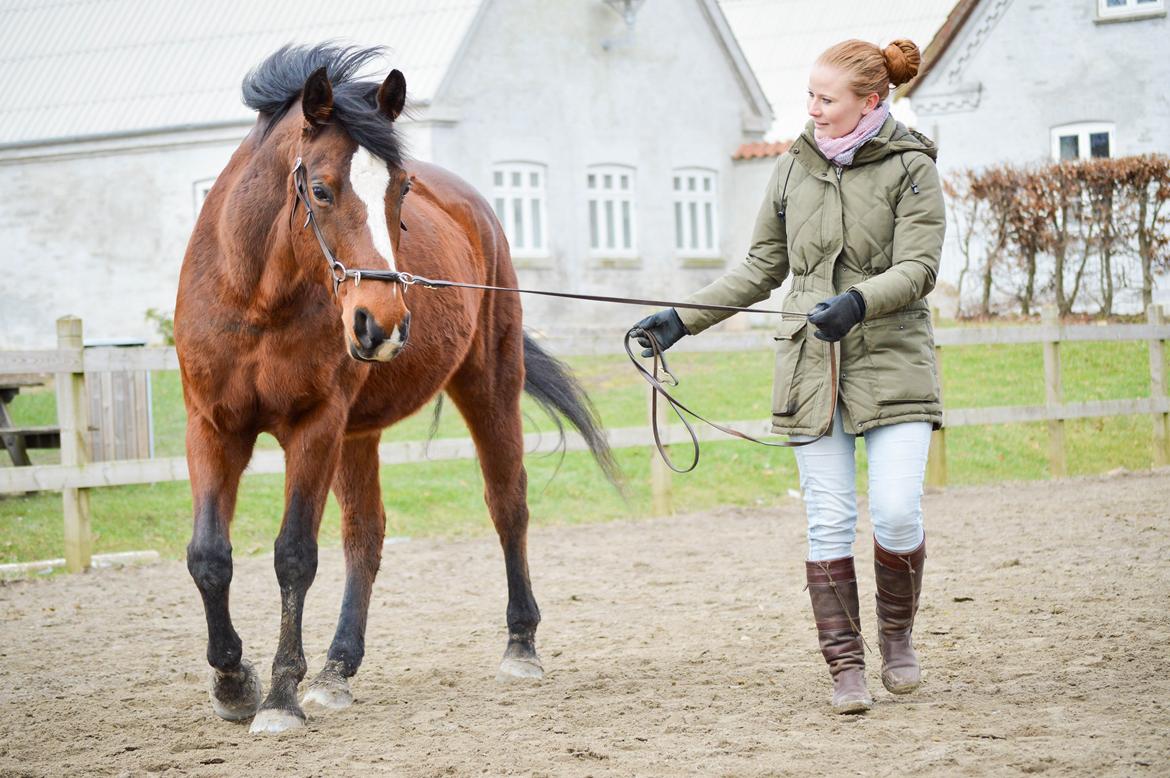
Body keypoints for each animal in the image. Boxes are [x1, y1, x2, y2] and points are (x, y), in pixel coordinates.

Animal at [174, 43, 622, 734]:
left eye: (400, 188)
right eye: (322, 190)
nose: (381, 322)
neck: (253, 300)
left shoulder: (314, 426)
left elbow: (294, 555)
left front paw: (278, 698)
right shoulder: (214, 427)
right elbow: (209, 557)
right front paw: (232, 683)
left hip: (487, 388)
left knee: (508, 505)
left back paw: (520, 647)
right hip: (357, 434)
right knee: (367, 534)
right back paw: (337, 669)